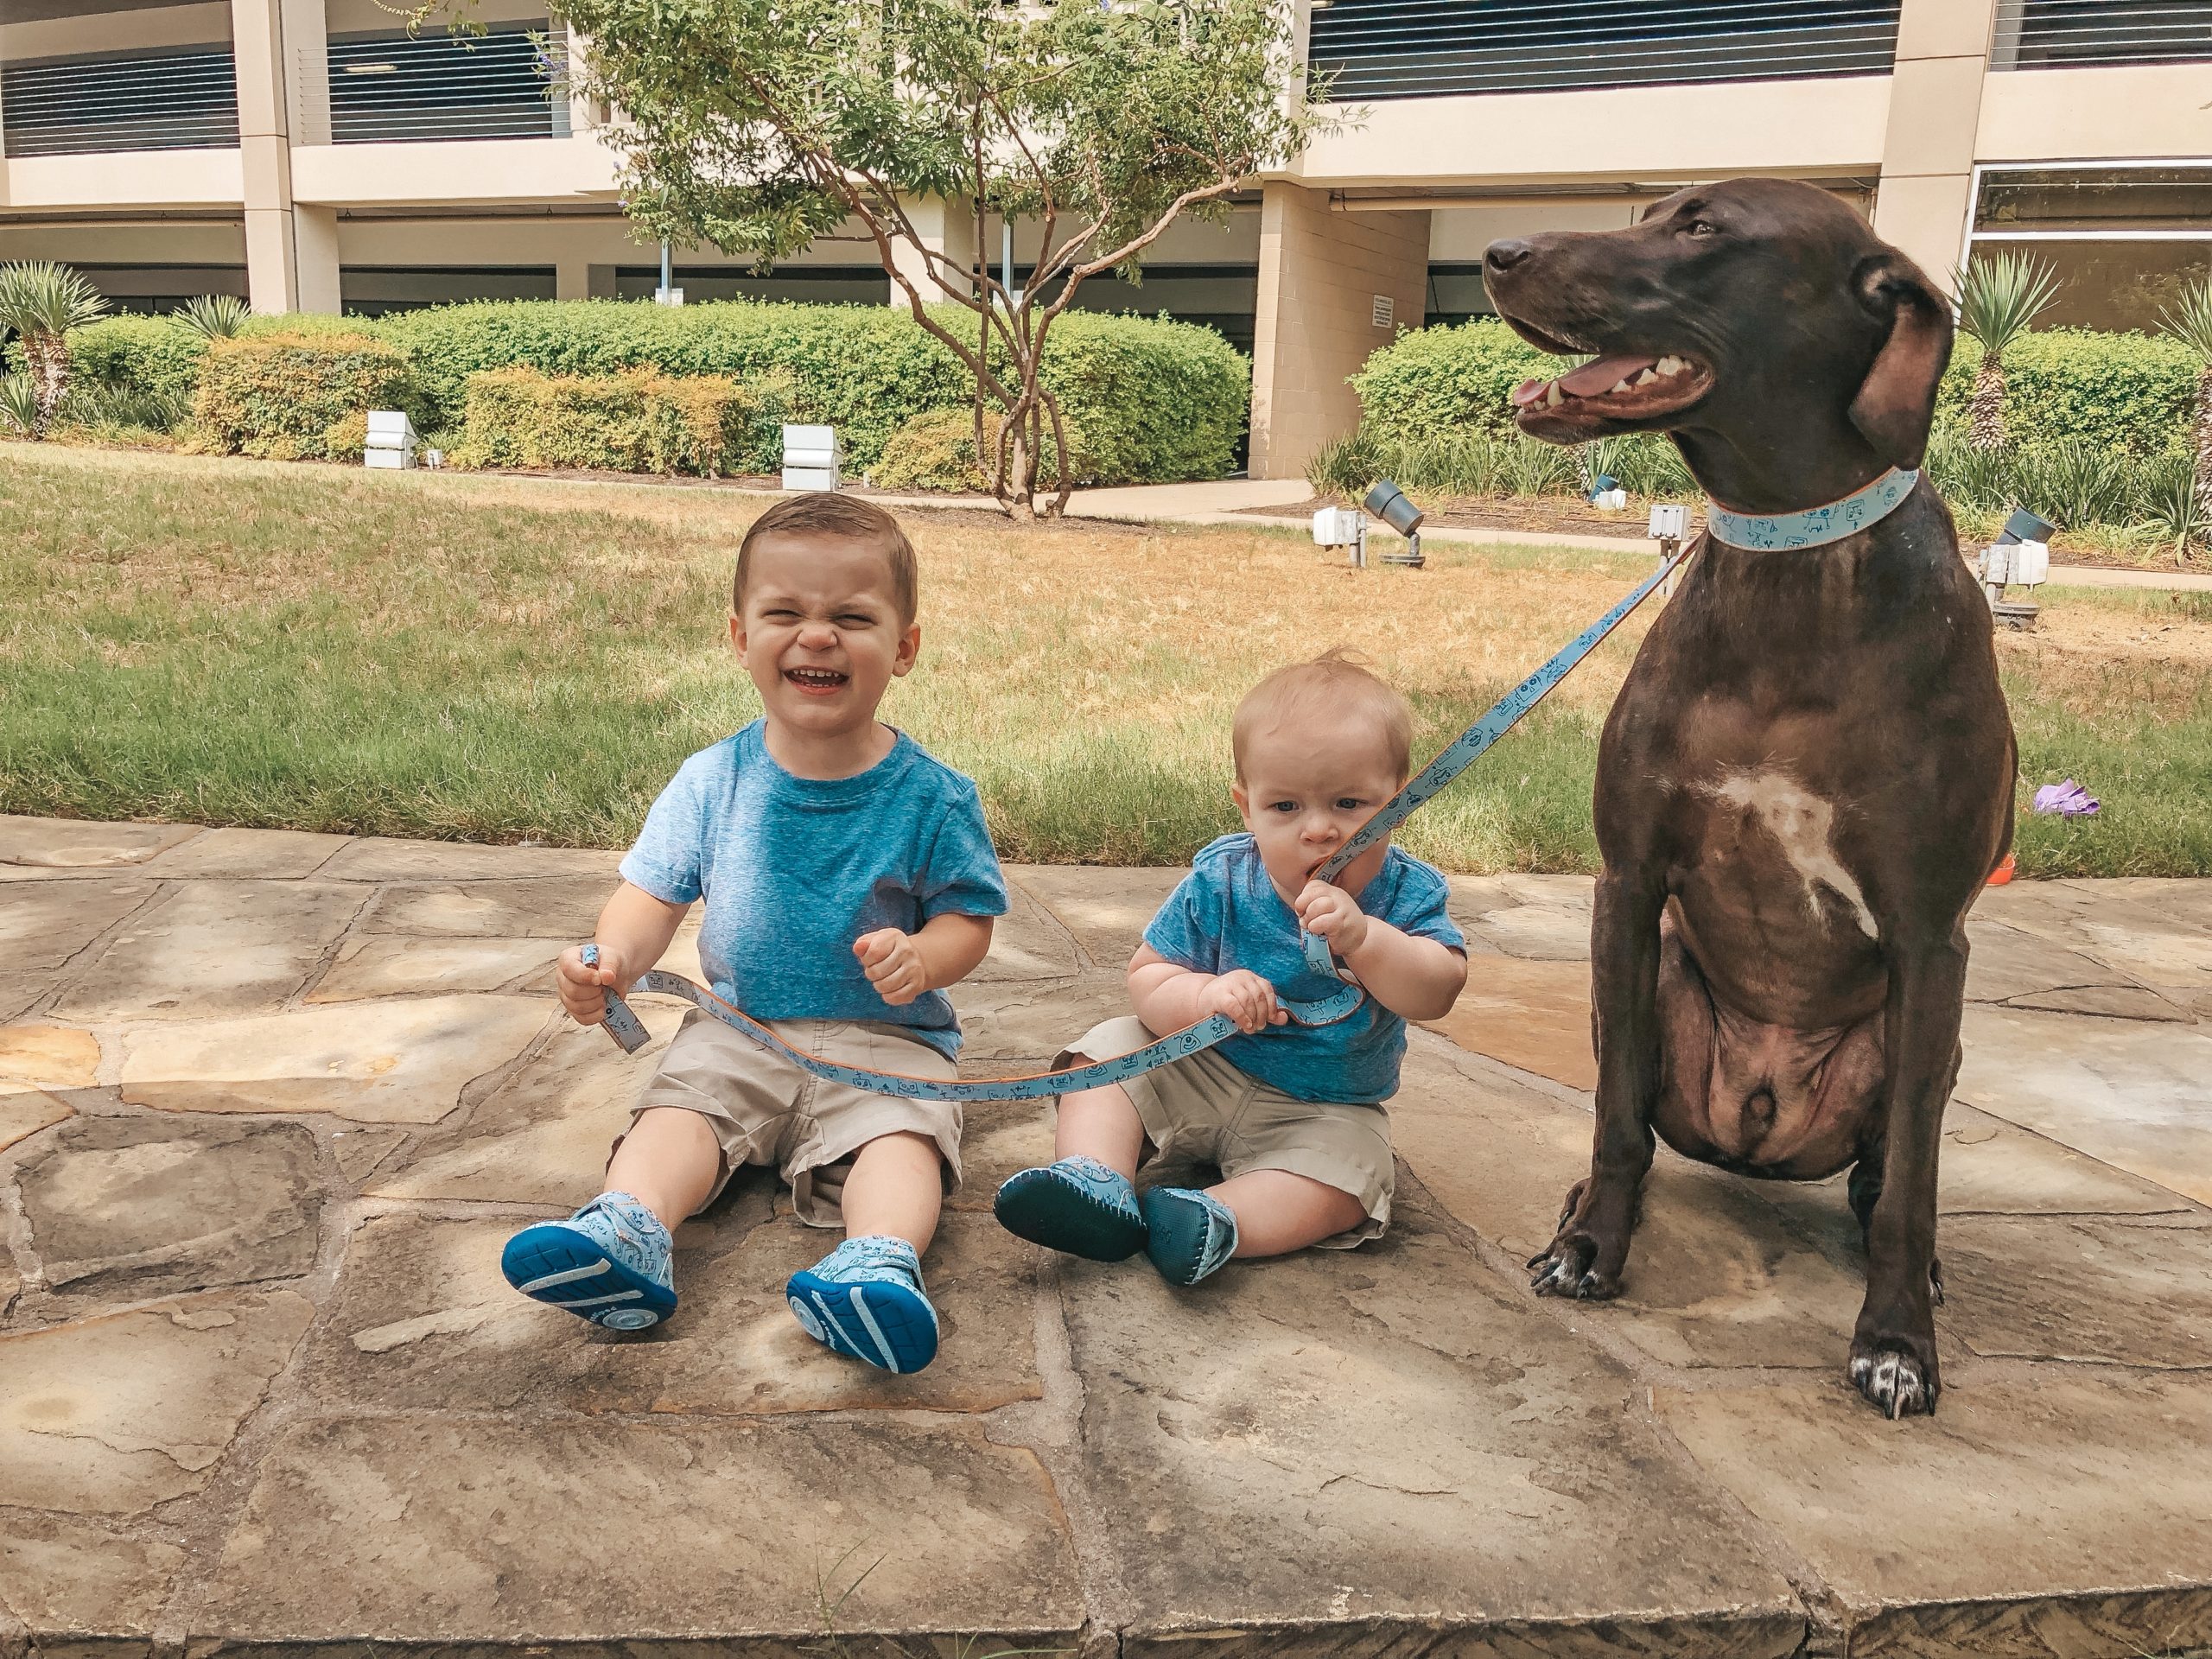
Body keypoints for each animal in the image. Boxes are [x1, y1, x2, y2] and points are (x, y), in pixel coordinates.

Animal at [1486, 175, 2025, 1415]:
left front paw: (1896, 1341)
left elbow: (1915, 1171)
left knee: (1890, 1175)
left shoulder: (1931, 938)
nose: (1498, 251)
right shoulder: (1630, 885)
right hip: (1654, 984)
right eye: (1646, 210)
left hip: (1922, 1036)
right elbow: (1613, 1117)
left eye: (1702, 229)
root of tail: (1761, 1132)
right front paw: (1592, 1246)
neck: (1792, 558)